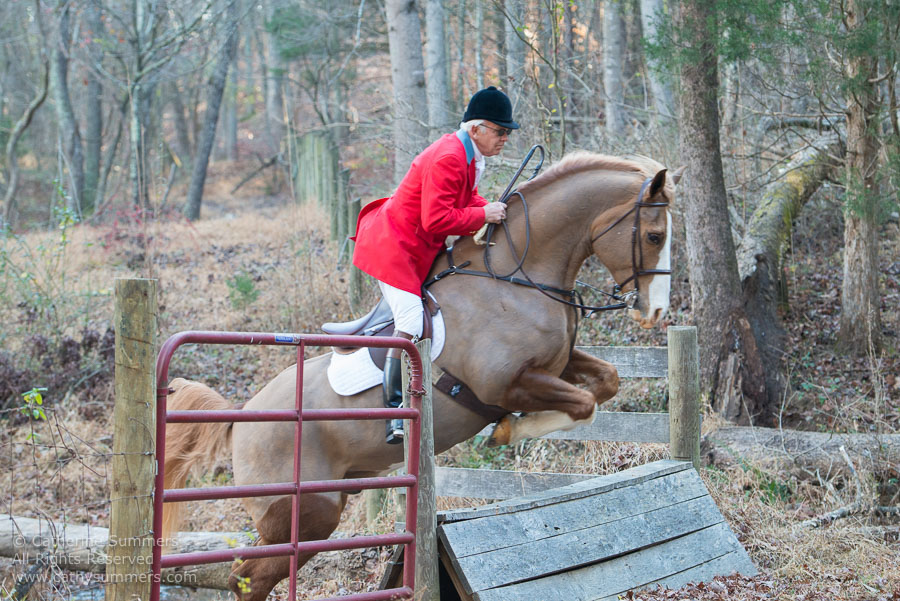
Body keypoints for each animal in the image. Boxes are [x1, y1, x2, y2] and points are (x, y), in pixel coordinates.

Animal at [162, 150, 684, 596]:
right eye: (655, 237)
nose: (657, 313)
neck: (515, 276)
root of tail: (240, 417)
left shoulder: (557, 364)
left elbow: (606, 384)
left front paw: (509, 429)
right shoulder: (508, 383)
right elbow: (583, 403)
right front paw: (506, 431)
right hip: (304, 512)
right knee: (250, 579)